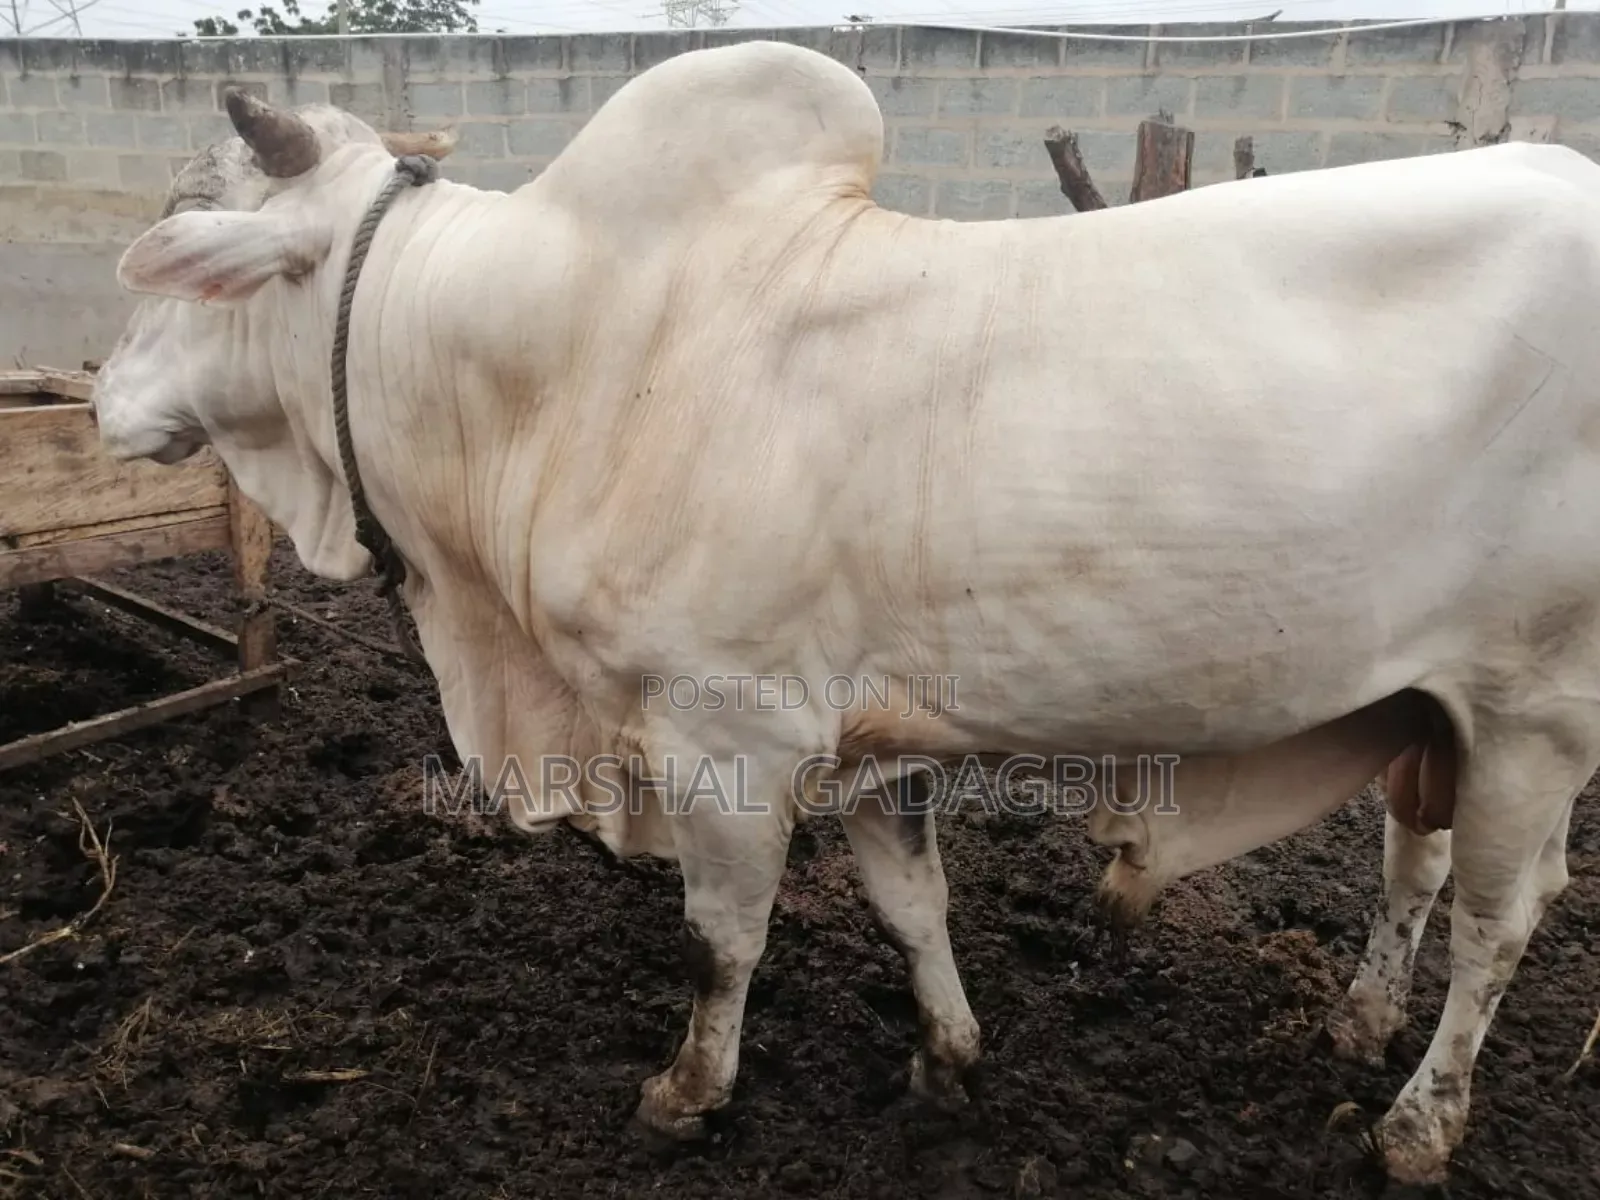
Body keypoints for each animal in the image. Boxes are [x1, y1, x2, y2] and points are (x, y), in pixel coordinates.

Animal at [88, 38, 1600, 1186]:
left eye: (175, 234)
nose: (98, 397)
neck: (560, 354)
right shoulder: (877, 738)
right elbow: (910, 901)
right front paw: (947, 1057)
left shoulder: (727, 732)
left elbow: (722, 937)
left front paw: (688, 1093)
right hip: (1428, 709)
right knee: (1415, 870)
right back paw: (1356, 1024)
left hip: (1534, 710)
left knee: (1498, 920)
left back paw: (1418, 1124)